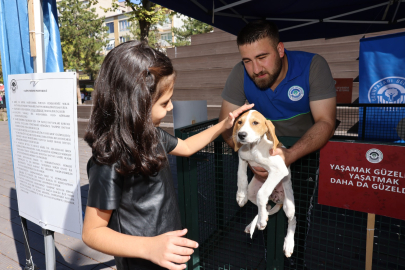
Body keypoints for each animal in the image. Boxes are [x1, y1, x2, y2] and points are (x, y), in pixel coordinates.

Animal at [232, 109, 296, 258]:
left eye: (255, 123)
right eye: (239, 122)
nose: (241, 135)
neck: (253, 148)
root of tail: (277, 199)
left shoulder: (279, 170)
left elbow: (262, 193)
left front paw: (261, 221)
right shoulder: (242, 157)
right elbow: (240, 175)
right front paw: (241, 196)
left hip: (289, 206)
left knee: (292, 220)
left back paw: (288, 244)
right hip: (252, 193)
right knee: (266, 206)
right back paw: (256, 221)